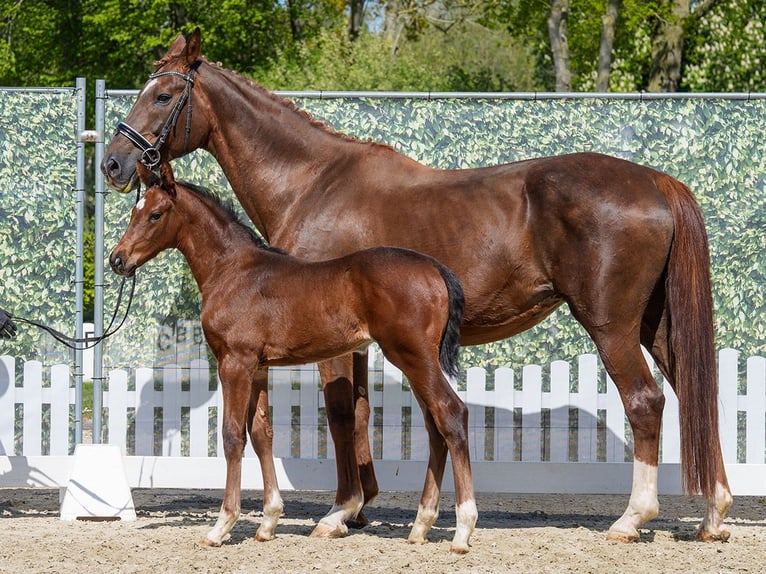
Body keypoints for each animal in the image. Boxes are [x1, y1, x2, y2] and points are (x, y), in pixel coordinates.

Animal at [109, 161, 476, 553]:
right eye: (133, 211)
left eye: (155, 214)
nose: (118, 260)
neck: (233, 270)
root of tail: (436, 269)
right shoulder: (257, 367)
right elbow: (261, 434)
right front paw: (268, 521)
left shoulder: (234, 363)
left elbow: (232, 436)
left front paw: (221, 526)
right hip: (416, 361)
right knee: (435, 426)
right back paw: (421, 526)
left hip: (413, 356)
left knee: (451, 414)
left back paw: (463, 530)